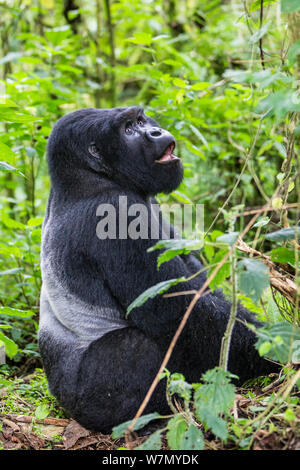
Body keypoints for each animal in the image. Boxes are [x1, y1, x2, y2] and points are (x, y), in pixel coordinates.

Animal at [38, 106, 278, 434]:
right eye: (128, 129)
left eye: (140, 120)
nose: (155, 132)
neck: (86, 178)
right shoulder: (118, 212)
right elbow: (179, 316)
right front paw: (279, 348)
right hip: (84, 397)